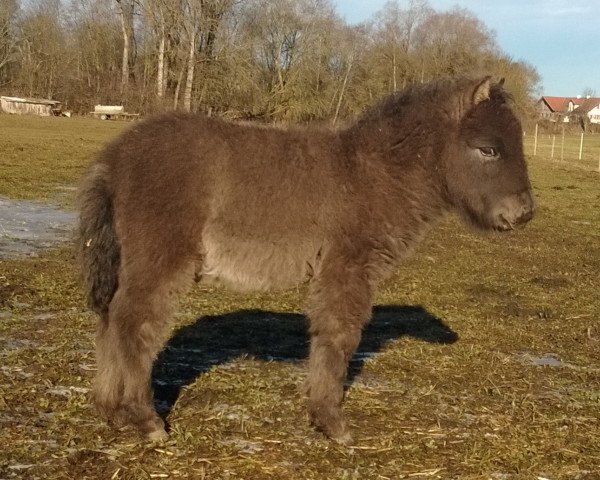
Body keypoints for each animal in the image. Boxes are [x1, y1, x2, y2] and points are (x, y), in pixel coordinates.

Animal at [78, 77, 536, 444]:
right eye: (488, 150)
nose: (525, 213)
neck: (374, 175)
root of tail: (115, 156)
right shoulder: (347, 268)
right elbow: (339, 337)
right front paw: (332, 422)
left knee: (109, 321)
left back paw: (110, 410)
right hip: (161, 259)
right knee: (133, 324)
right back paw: (145, 420)